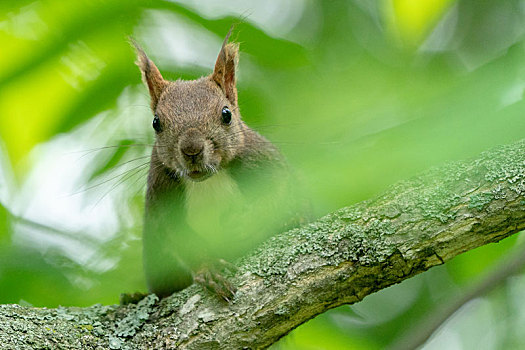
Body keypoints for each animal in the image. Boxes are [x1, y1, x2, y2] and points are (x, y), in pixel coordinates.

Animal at [131, 30, 298, 300]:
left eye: (226, 114)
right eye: (156, 123)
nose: (192, 150)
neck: (209, 180)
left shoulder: (265, 161)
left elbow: (279, 195)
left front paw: (247, 223)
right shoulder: (162, 193)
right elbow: (180, 239)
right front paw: (209, 270)